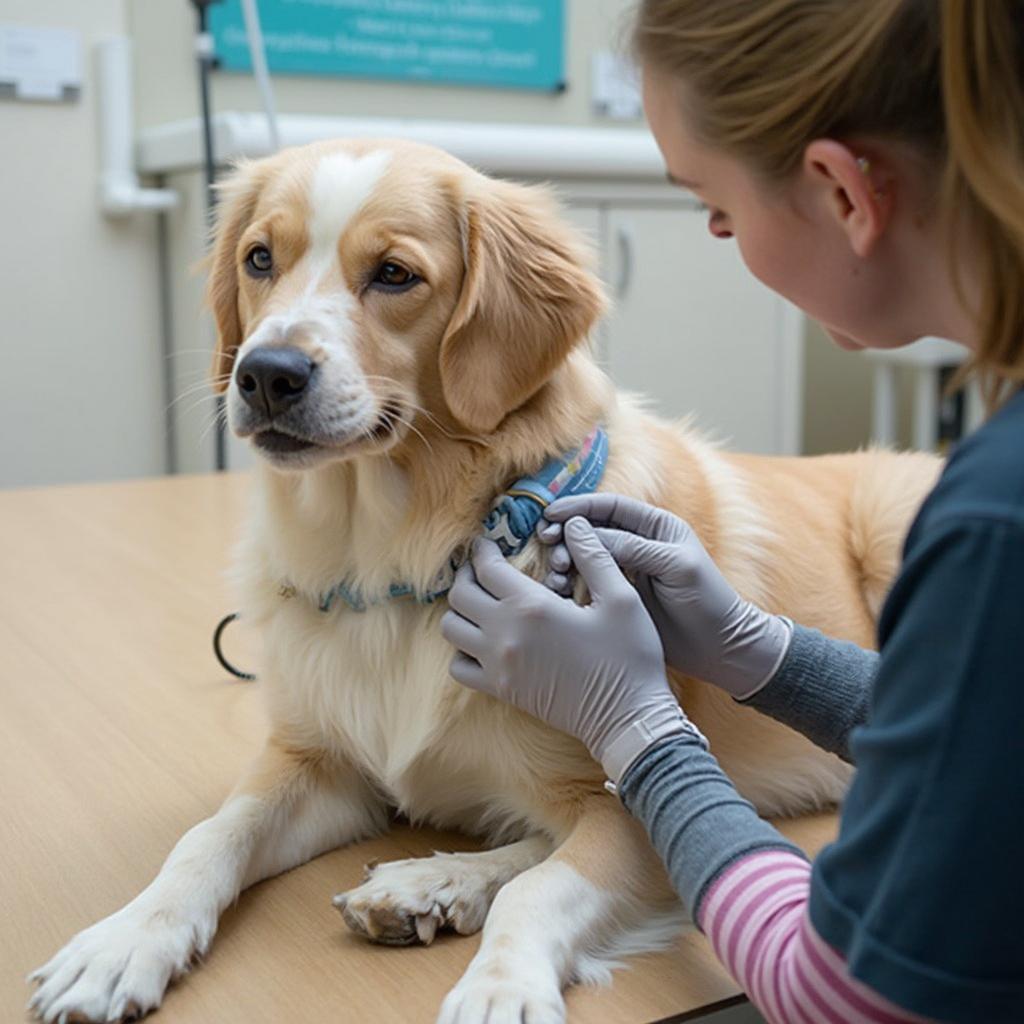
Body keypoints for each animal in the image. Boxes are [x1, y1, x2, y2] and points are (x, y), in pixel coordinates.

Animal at [28, 140, 937, 1024]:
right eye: (259, 259)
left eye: (395, 274)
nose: (264, 375)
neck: (405, 564)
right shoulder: (316, 763)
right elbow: (209, 836)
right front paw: (122, 942)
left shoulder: (628, 802)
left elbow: (543, 885)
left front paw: (500, 983)